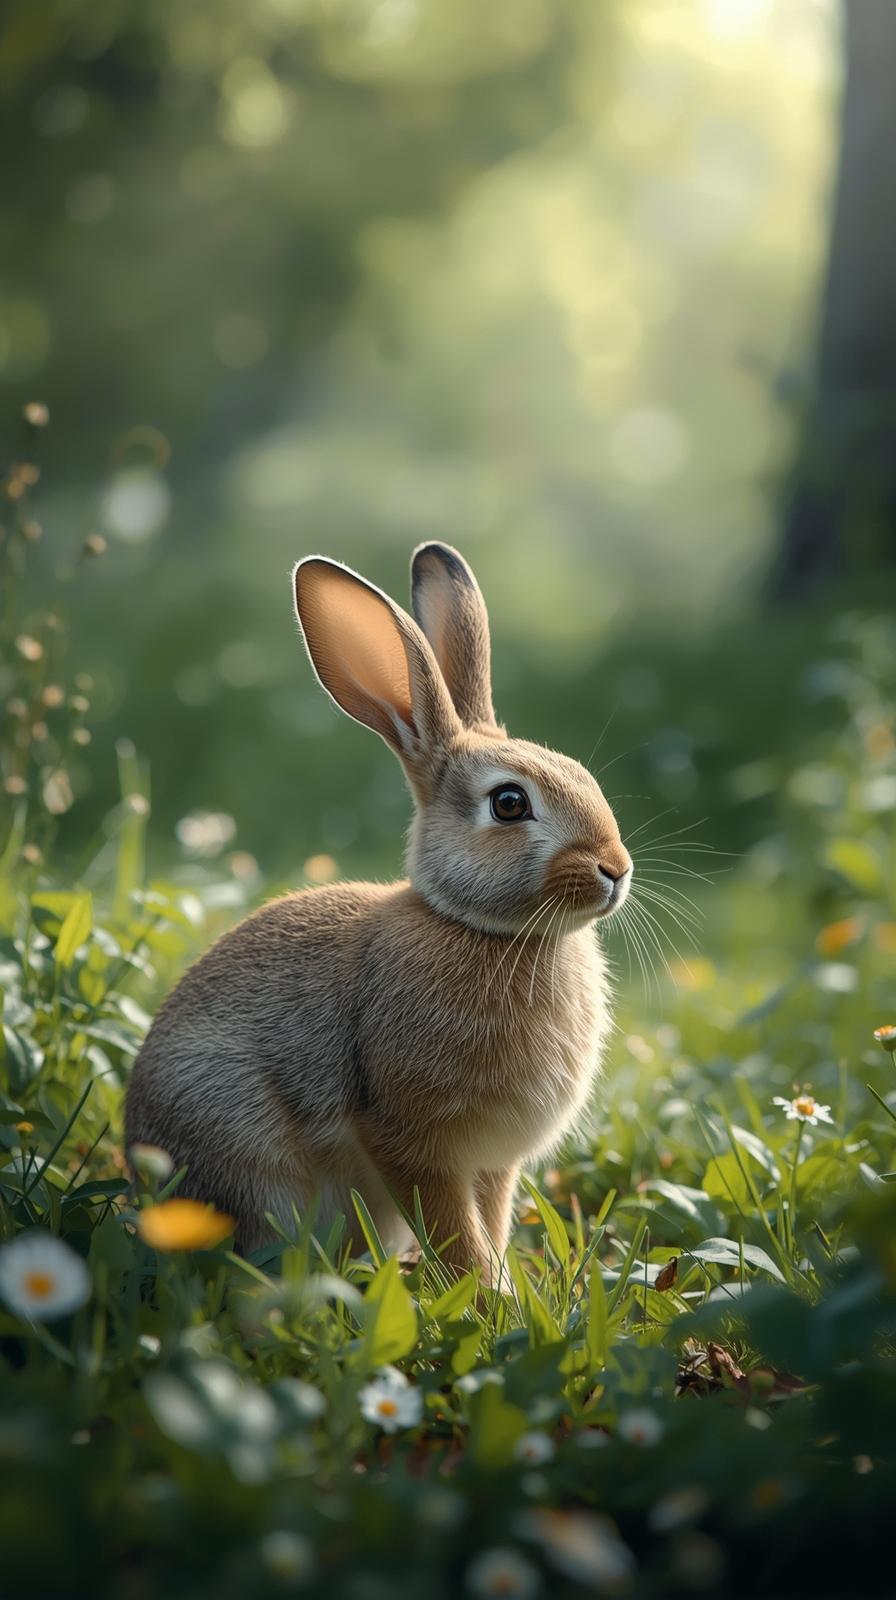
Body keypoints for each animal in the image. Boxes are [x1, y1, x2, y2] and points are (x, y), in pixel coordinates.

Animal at [125, 543, 633, 1280]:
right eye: (509, 804)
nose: (616, 870)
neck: (481, 929)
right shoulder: (407, 1135)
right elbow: (455, 1231)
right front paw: (487, 1297)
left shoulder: (492, 1163)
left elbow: (489, 1224)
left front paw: (502, 1289)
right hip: (250, 1155)